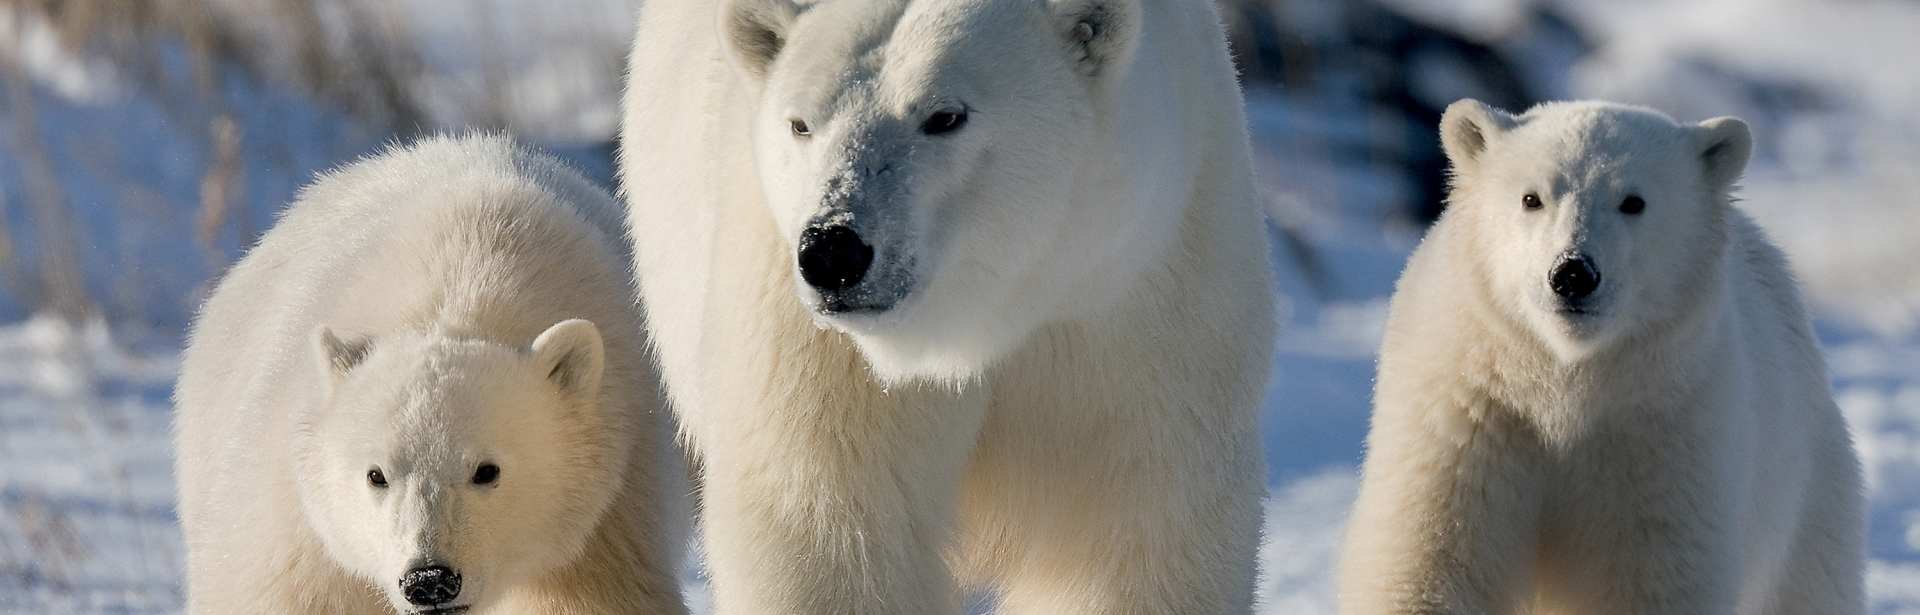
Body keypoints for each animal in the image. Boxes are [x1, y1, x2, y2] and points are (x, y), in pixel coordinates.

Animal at [618, 0, 1276, 613]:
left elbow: (1137, 525)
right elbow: (836, 528)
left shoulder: (1139, 298)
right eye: (801, 123)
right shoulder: (816, 345)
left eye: (944, 116)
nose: (832, 249)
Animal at [1335, 100, 1865, 614]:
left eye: (1633, 201)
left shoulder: (1658, 433)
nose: (1573, 274)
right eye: (1532, 197)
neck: (1561, 381)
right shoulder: (1471, 418)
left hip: (1806, 494)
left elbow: (1646, 580)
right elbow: (1430, 561)